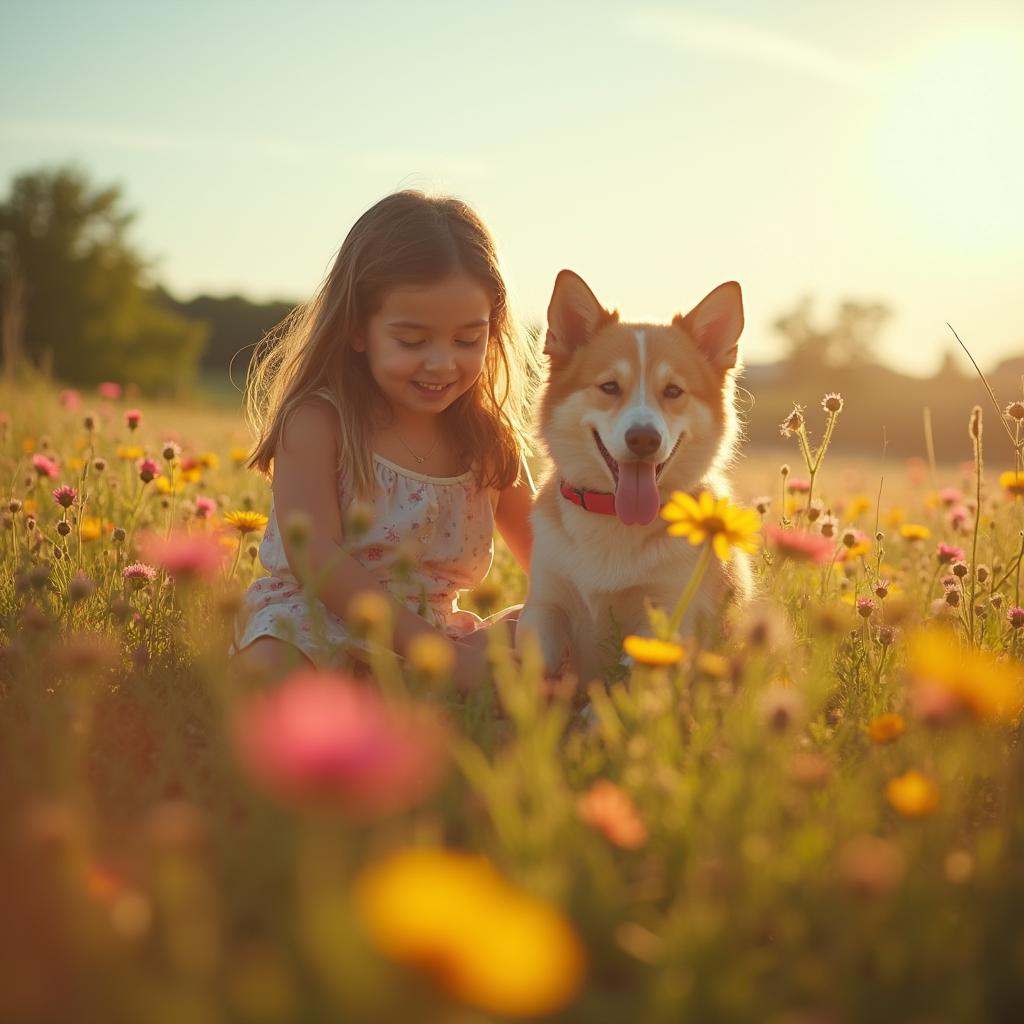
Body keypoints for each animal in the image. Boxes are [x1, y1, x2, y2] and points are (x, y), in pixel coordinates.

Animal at [520, 270, 753, 688]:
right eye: (609, 386)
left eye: (673, 391)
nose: (644, 439)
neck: (614, 520)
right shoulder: (545, 603)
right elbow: (533, 664)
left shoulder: (665, 614)